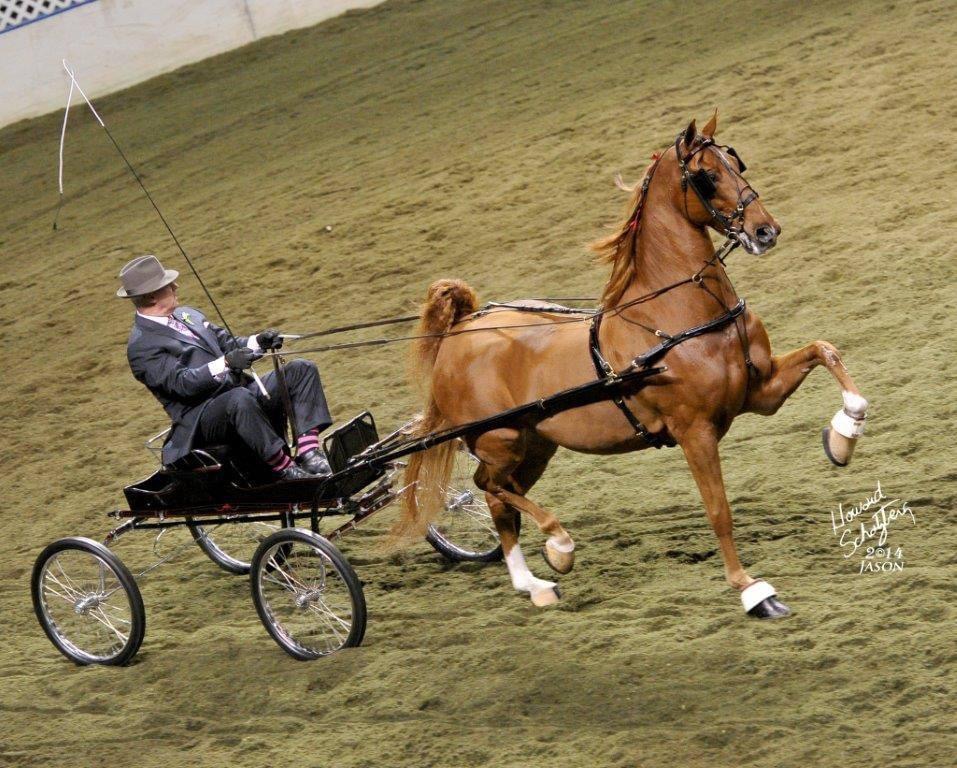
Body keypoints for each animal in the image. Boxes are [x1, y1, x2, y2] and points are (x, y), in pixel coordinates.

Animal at [395, 113, 869, 618]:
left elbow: (826, 351)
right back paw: (559, 545)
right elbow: (718, 509)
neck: (683, 316)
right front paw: (752, 590)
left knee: (498, 499)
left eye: (735, 162)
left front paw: (843, 436)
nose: (766, 231)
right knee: (489, 487)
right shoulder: (694, 430)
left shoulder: (760, 392)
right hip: (498, 441)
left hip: (535, 445)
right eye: (706, 175)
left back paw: (534, 584)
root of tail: (462, 327)